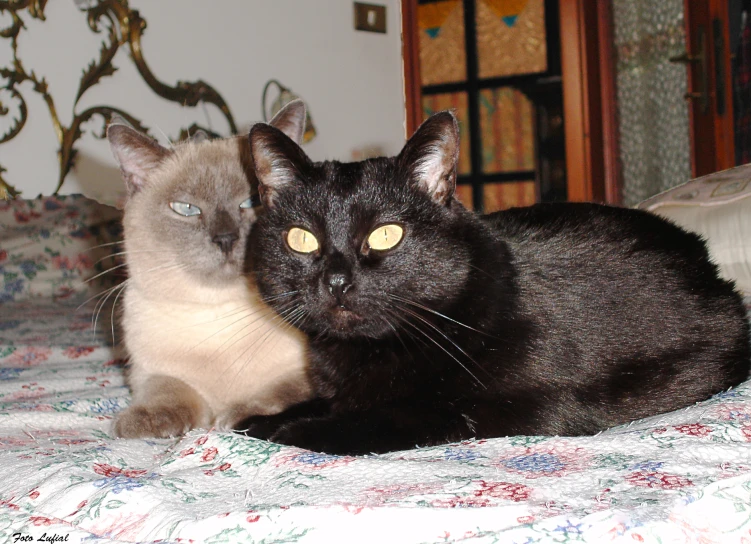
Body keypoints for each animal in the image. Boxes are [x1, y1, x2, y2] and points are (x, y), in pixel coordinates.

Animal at [106, 102, 312, 438]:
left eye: (251, 201)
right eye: (186, 209)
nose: (225, 239)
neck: (218, 318)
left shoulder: (308, 372)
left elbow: (278, 393)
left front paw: (234, 417)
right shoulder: (148, 372)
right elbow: (167, 390)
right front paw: (142, 422)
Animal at [242, 110, 751, 454]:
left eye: (387, 235)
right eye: (301, 239)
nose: (337, 281)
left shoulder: (531, 407)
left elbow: (406, 415)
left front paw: (296, 431)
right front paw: (260, 420)